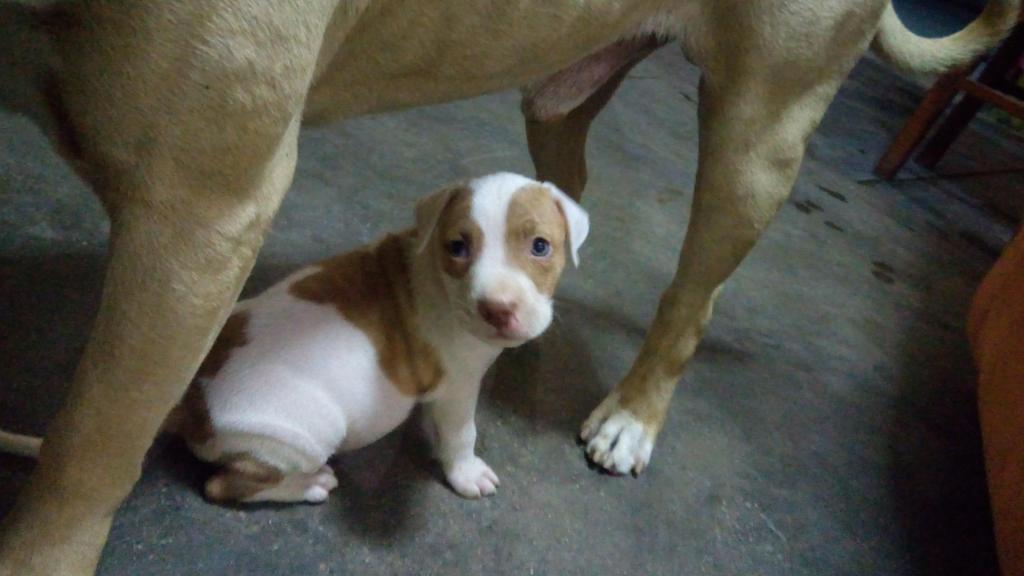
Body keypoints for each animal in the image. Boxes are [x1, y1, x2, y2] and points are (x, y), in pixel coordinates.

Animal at [164, 171, 589, 502]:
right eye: (457, 247)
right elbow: (461, 433)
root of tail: (192, 399)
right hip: (299, 434)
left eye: (540, 247)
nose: (497, 309)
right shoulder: (458, 386)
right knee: (222, 487)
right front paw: (467, 472)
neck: (437, 277)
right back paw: (307, 485)